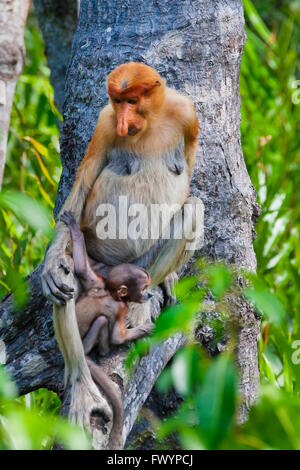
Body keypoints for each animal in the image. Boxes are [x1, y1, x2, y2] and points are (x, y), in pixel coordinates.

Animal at [42, 61, 204, 448]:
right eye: (117, 101)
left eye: (132, 100)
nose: (123, 122)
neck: (153, 119)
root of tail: (112, 271)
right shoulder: (104, 122)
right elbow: (82, 185)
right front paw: (48, 267)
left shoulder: (187, 114)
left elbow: (188, 169)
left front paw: (170, 280)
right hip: (91, 262)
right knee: (67, 280)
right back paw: (83, 389)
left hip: (138, 265)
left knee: (194, 207)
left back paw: (144, 298)